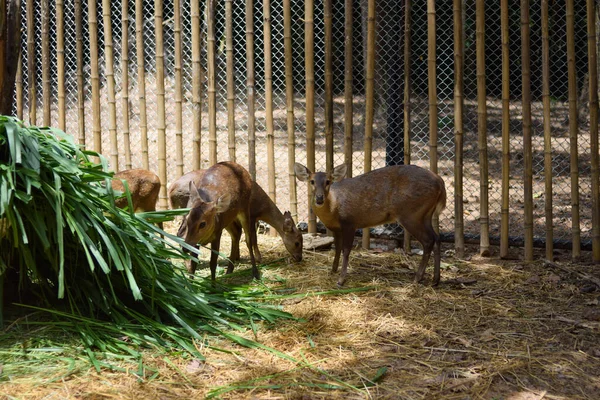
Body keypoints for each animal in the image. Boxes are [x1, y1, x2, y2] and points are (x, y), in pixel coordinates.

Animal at [170, 169, 304, 266]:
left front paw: (236, 257)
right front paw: (258, 258)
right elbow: (252, 238)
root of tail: (171, 191)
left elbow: (238, 235)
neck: (261, 206)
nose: (299, 258)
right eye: (297, 242)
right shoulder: (251, 215)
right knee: (182, 233)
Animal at [294, 161, 446, 286]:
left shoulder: (350, 222)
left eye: (328, 181)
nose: (319, 198)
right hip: (425, 214)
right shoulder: (336, 228)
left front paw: (341, 280)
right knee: (437, 238)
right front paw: (333, 270)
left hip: (411, 214)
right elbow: (337, 248)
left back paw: (417, 278)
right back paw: (435, 280)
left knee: (428, 240)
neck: (333, 209)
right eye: (312, 181)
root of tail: (440, 182)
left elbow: (346, 250)